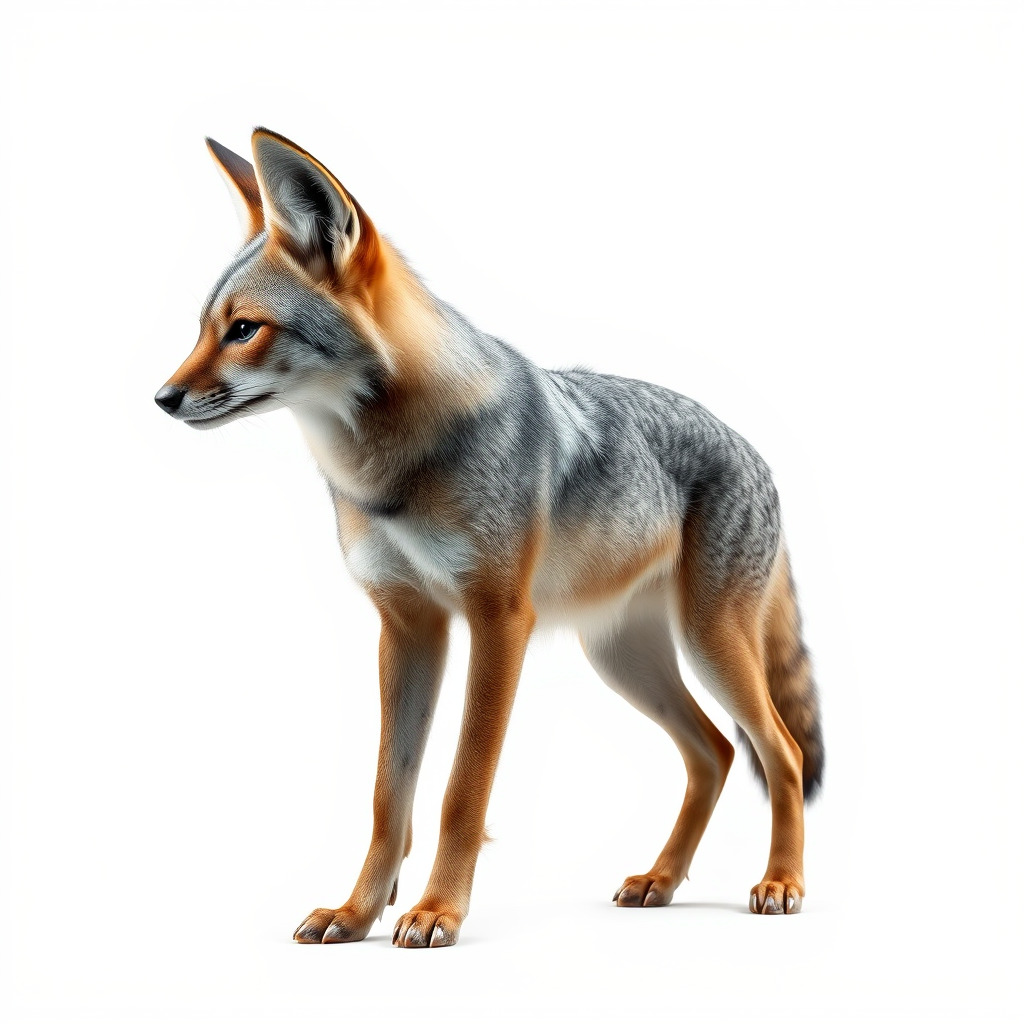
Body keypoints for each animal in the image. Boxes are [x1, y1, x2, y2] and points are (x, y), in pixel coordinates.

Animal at [155, 128, 824, 948]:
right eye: (202, 329)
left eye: (245, 330)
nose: (161, 398)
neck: (390, 475)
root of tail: (755, 452)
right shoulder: (408, 627)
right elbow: (388, 798)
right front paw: (357, 913)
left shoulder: (498, 621)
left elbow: (459, 791)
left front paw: (437, 910)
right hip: (623, 661)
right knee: (717, 752)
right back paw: (661, 881)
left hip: (708, 645)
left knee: (780, 751)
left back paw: (782, 883)